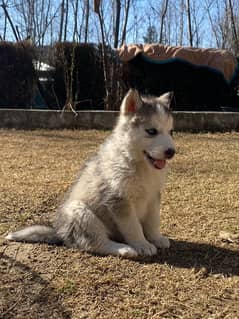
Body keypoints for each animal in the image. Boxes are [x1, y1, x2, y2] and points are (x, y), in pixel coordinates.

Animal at [6, 89, 176, 258]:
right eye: (151, 131)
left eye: (171, 132)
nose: (171, 152)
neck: (137, 163)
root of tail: (59, 231)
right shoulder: (119, 199)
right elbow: (133, 227)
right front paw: (142, 244)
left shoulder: (153, 195)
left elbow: (153, 221)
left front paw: (156, 239)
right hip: (81, 212)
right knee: (95, 243)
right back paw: (124, 249)